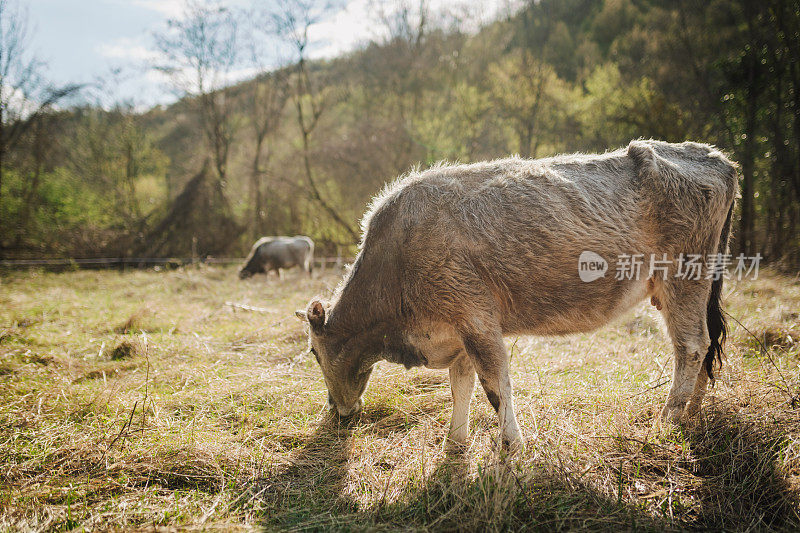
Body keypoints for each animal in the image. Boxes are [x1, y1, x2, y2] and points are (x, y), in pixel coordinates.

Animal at [296, 139, 736, 450]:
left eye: (314, 352)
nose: (336, 411)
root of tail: (713, 157)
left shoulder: (476, 319)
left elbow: (495, 386)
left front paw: (511, 445)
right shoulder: (459, 332)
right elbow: (461, 385)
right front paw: (455, 442)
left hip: (684, 277)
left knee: (691, 345)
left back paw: (668, 419)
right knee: (704, 345)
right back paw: (692, 412)